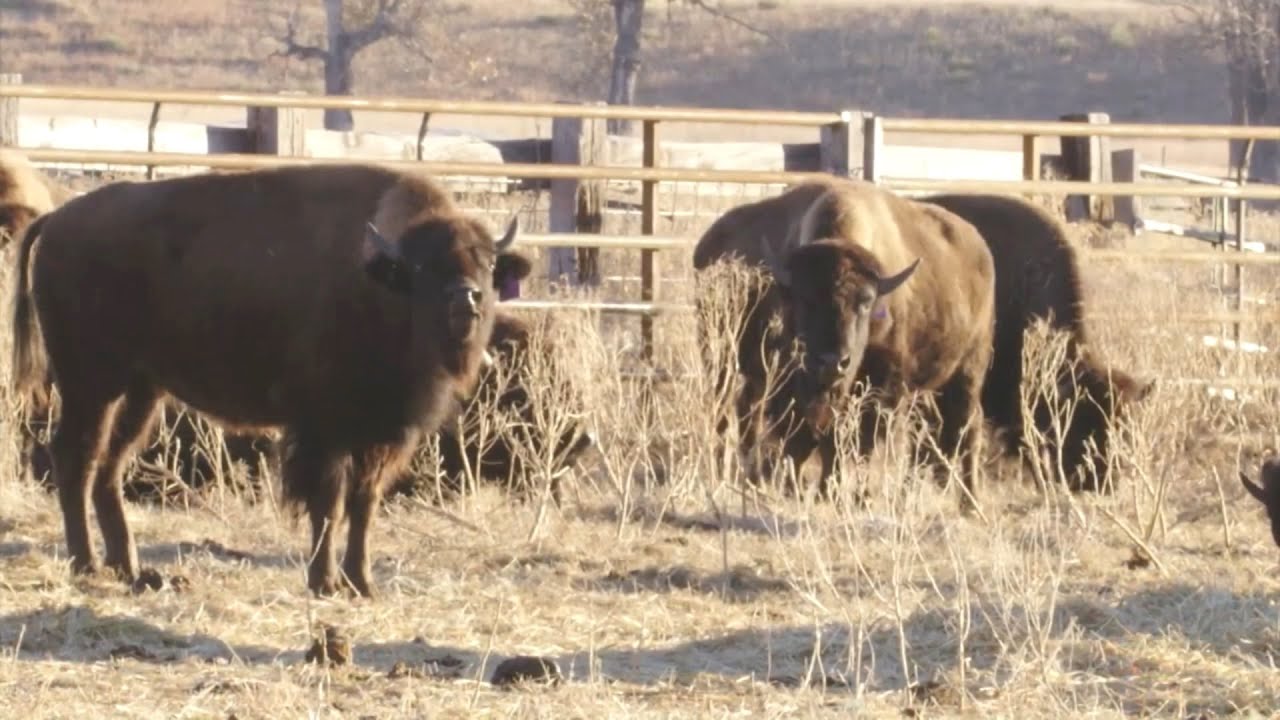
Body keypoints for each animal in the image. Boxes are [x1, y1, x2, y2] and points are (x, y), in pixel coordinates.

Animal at [11, 162, 527, 598]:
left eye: (485, 262)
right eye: (423, 267)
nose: (466, 299)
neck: (379, 277)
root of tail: (56, 221)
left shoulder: (382, 436)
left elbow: (364, 506)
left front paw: (362, 584)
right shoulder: (325, 431)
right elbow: (329, 504)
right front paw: (324, 582)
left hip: (140, 391)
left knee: (109, 466)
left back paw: (129, 568)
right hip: (91, 385)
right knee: (76, 458)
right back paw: (87, 565)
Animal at [693, 176, 996, 509]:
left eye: (865, 302)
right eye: (804, 300)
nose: (833, 362)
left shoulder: (882, 385)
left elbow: (856, 441)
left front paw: (847, 496)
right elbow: (810, 438)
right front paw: (810, 490)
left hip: (969, 367)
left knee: (966, 426)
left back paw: (970, 502)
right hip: (722, 364)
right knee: (735, 412)